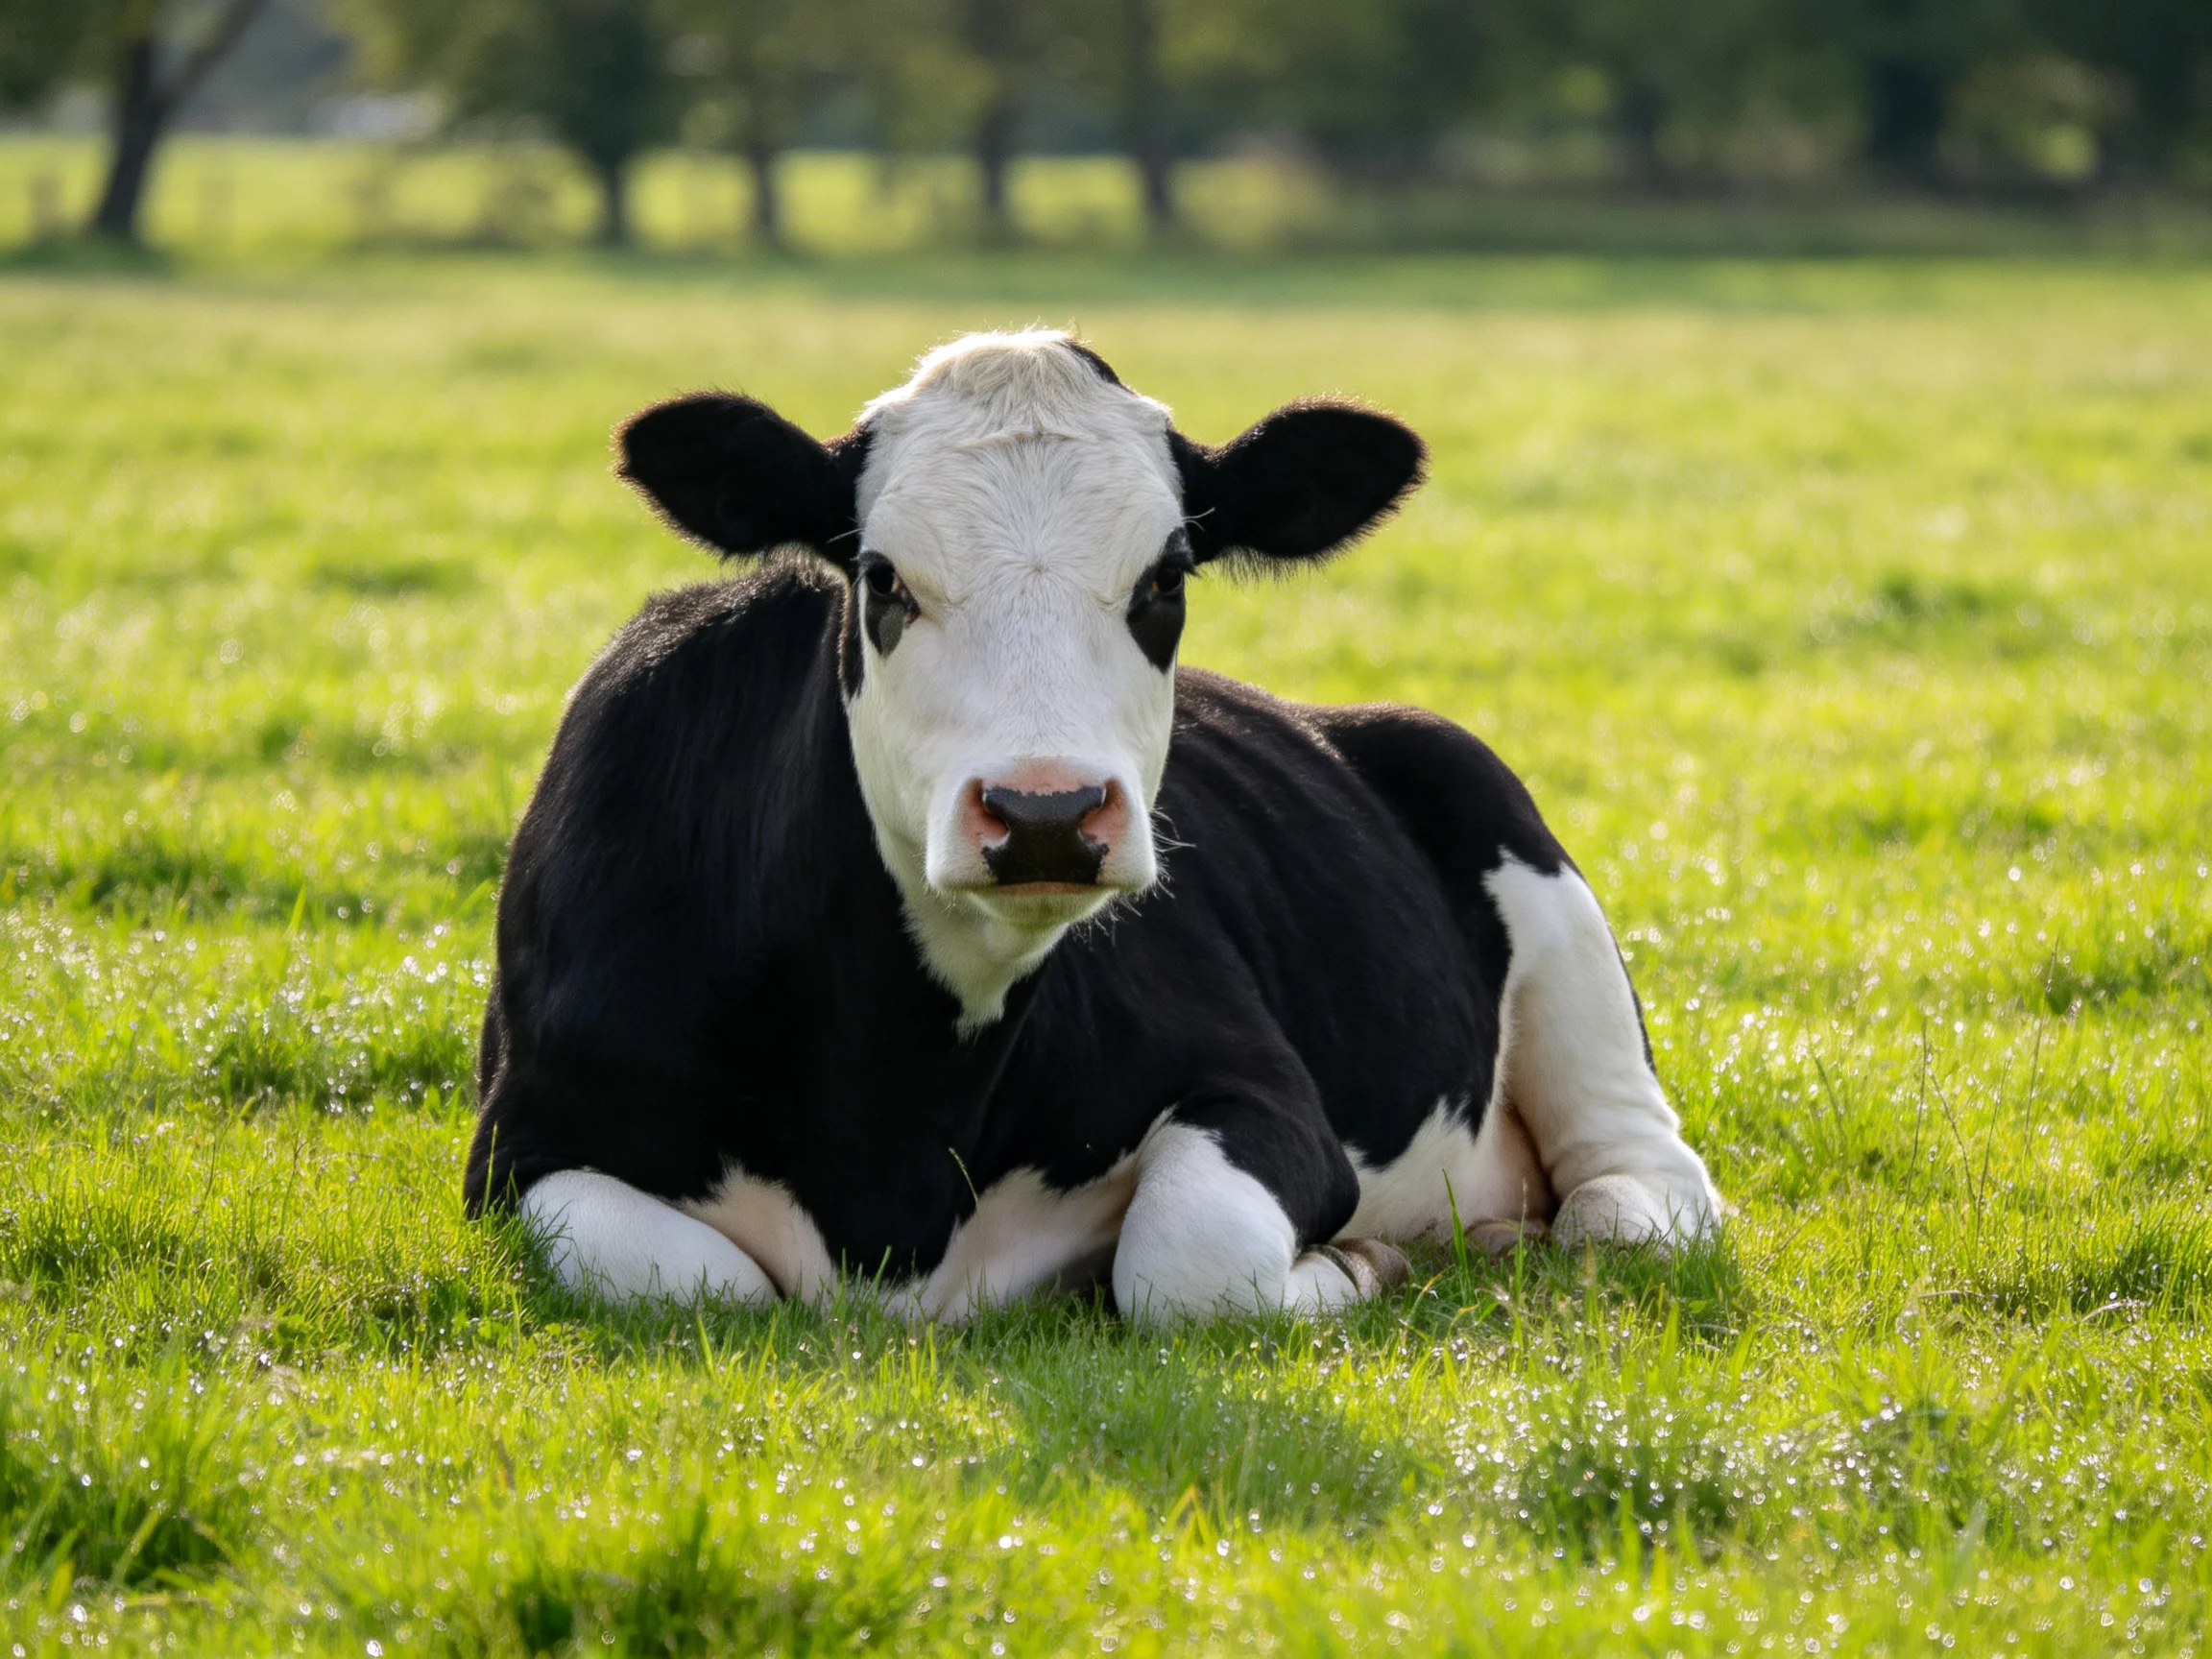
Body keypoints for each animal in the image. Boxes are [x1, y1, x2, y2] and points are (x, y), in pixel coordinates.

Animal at [465, 330, 1721, 1326]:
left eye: (1166, 579)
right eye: (883, 579)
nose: (1046, 812)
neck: (895, 1125)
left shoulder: (1261, 1090)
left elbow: (1188, 1263)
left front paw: (1359, 1260)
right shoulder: (519, 1149)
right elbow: (698, 1282)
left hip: (1525, 865)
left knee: (1635, 1191)